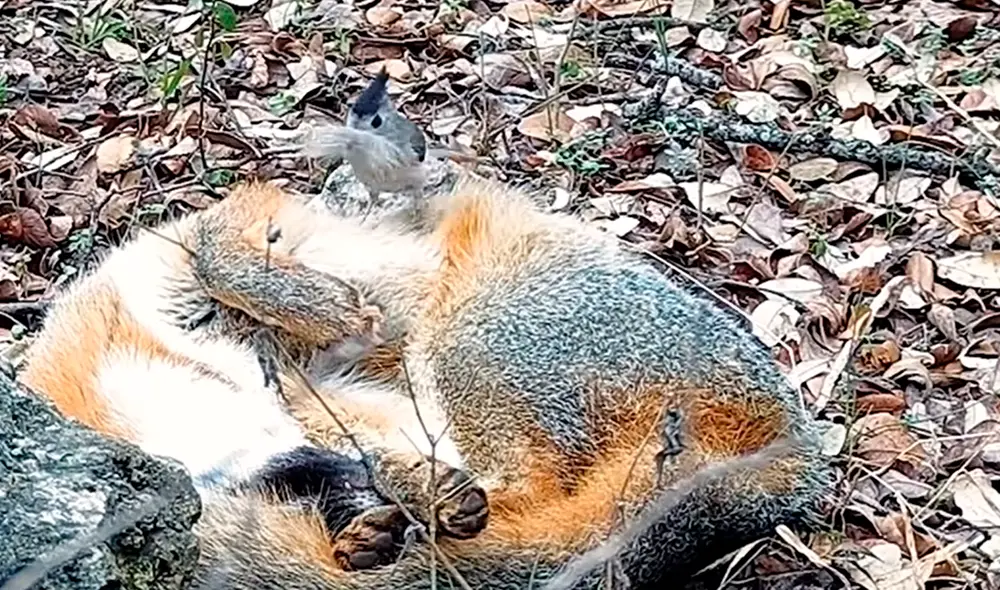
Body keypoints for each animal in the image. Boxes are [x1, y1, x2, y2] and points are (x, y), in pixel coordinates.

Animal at [17, 174, 832, 589]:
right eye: (280, 482)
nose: (351, 499)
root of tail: (795, 450)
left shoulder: (236, 220)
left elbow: (225, 252)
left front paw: (325, 302)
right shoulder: (330, 405)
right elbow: (381, 450)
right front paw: (386, 512)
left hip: (464, 340)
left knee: (536, 492)